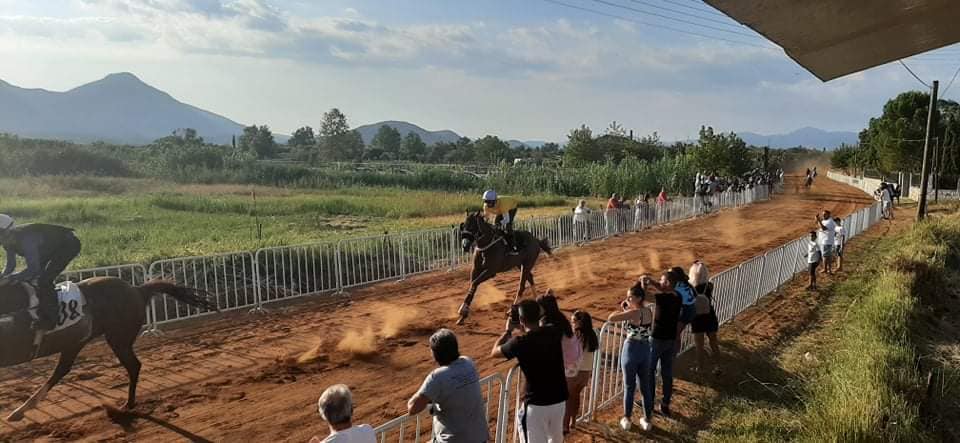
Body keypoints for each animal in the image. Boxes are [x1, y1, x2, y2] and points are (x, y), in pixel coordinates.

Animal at [0, 280, 214, 422]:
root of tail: (138, 289)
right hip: (78, 342)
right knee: (61, 370)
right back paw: (20, 410)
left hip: (118, 338)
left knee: (133, 366)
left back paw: (127, 405)